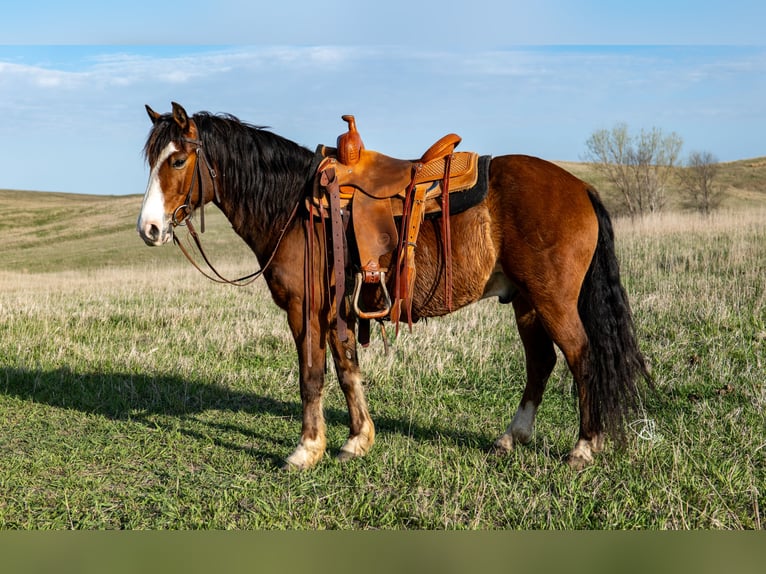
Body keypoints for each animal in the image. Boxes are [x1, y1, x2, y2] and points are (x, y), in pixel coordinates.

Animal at [135, 102, 652, 472]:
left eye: (177, 160)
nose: (149, 229)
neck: (295, 207)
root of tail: (579, 187)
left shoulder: (304, 309)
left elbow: (311, 376)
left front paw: (306, 450)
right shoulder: (338, 310)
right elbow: (348, 368)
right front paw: (356, 440)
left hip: (553, 301)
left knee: (581, 357)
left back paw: (583, 447)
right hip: (525, 302)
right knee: (541, 362)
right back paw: (511, 437)